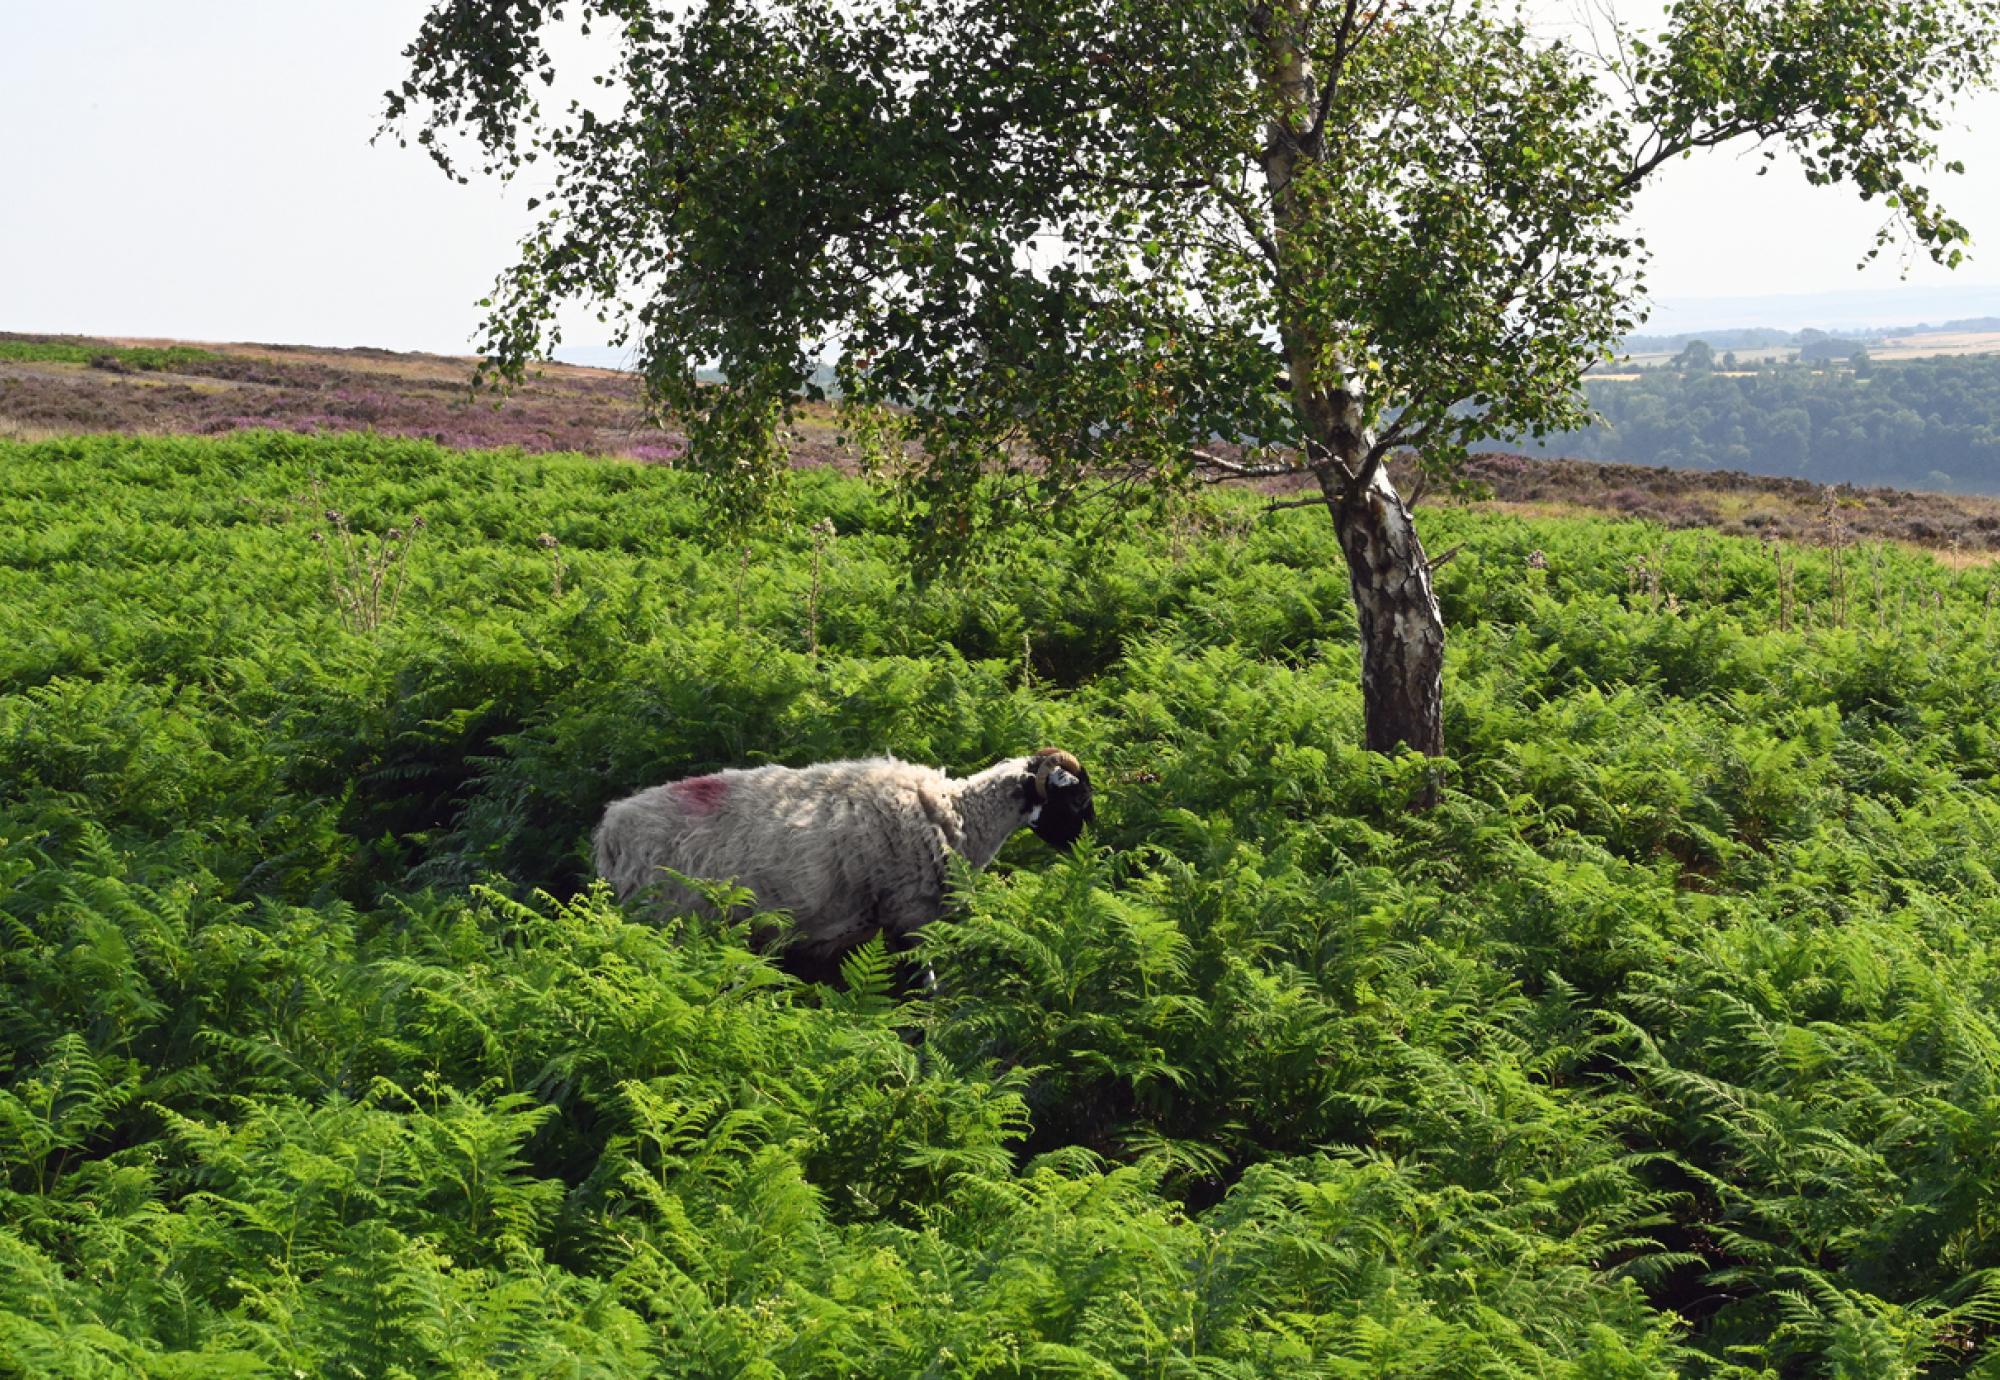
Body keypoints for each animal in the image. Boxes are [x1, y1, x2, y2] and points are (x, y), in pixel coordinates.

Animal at [592, 740, 1096, 968]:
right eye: (1076, 798)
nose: (1092, 852)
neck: (956, 813)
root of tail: (610, 830)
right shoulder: (908, 916)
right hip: (667, 922)